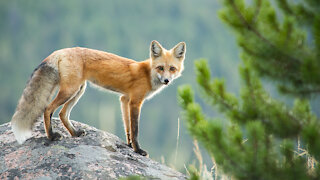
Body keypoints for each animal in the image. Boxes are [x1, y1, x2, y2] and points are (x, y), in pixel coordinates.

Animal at [10, 40, 185, 156]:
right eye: (160, 68)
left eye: (172, 68)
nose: (167, 80)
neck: (148, 74)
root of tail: (61, 50)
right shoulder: (135, 102)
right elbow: (135, 129)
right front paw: (137, 150)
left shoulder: (124, 99)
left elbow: (127, 128)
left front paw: (129, 146)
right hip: (70, 90)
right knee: (48, 109)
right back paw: (52, 136)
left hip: (79, 90)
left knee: (62, 113)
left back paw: (75, 133)